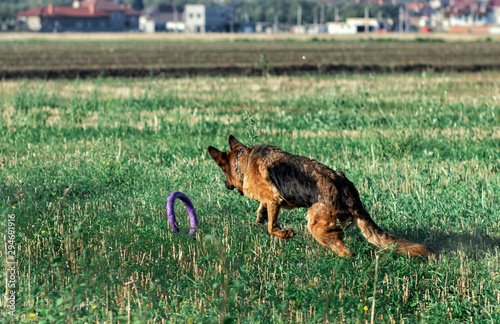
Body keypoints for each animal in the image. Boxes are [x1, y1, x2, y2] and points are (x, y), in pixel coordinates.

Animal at [207, 135, 434, 256]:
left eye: (223, 172)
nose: (225, 185)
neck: (243, 159)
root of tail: (349, 194)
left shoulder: (274, 199)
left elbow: (272, 227)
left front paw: (283, 233)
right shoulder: (270, 201)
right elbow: (264, 211)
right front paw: (260, 215)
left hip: (316, 226)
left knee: (345, 251)